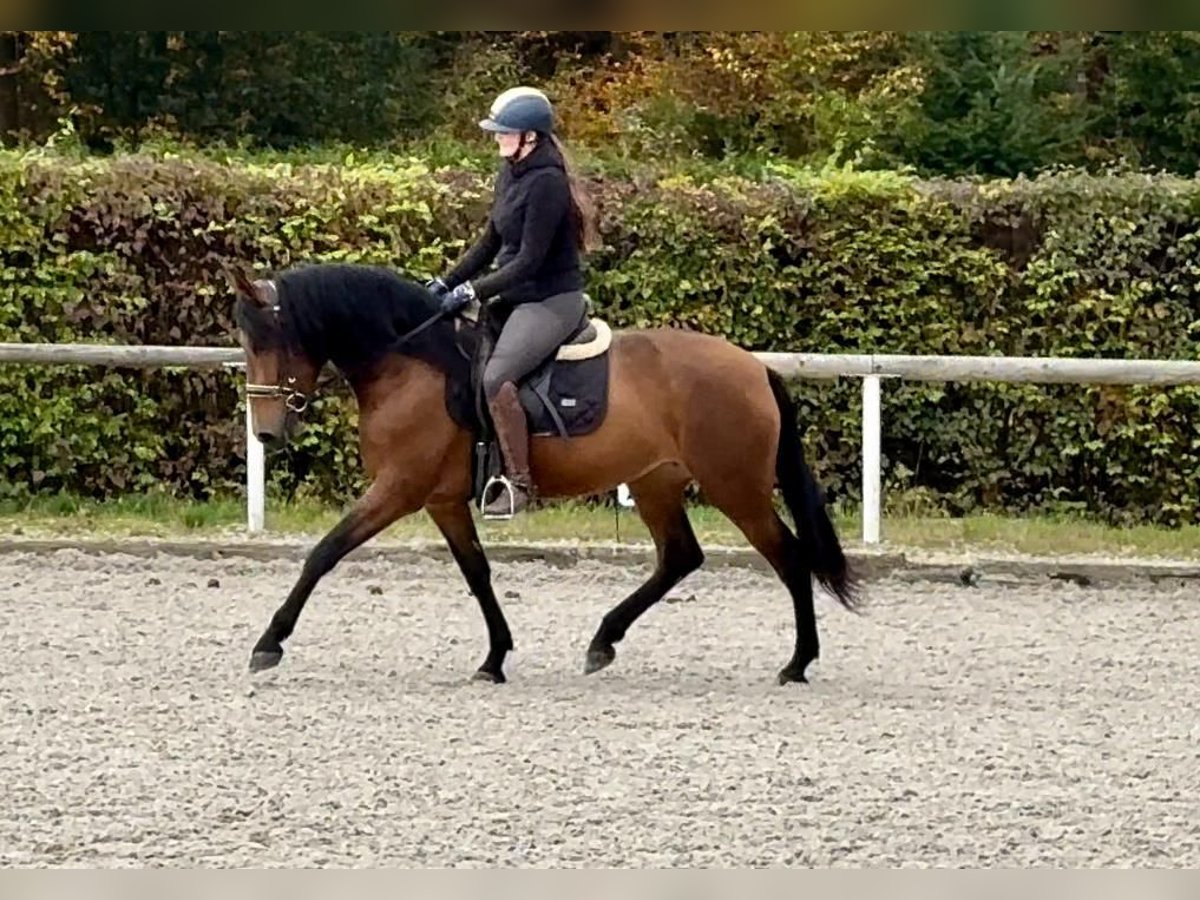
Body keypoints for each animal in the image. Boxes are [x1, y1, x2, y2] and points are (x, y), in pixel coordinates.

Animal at [226, 264, 864, 686]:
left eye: (273, 340)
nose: (267, 433)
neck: (410, 362)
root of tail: (753, 367)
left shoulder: (399, 490)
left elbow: (324, 552)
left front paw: (269, 643)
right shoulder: (441, 500)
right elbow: (477, 573)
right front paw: (494, 658)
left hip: (737, 487)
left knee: (789, 558)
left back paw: (797, 663)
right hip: (656, 481)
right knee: (681, 557)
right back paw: (603, 642)